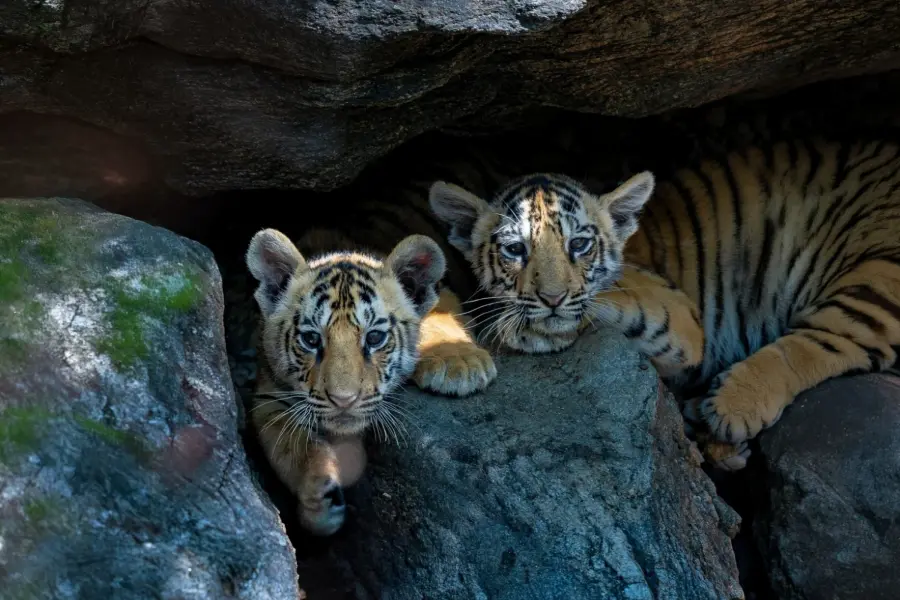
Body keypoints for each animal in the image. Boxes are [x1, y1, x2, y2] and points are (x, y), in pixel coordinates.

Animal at [245, 226, 496, 536]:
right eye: (311, 339)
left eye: (375, 337)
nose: (343, 400)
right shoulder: (267, 396)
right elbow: (290, 448)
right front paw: (318, 498)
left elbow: (438, 317)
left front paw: (460, 363)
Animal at [428, 137, 900, 469]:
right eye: (515, 250)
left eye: (579, 245)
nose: (552, 299)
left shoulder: (677, 316)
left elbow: (606, 298)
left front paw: (525, 327)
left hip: (880, 270)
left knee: (825, 341)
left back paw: (730, 408)